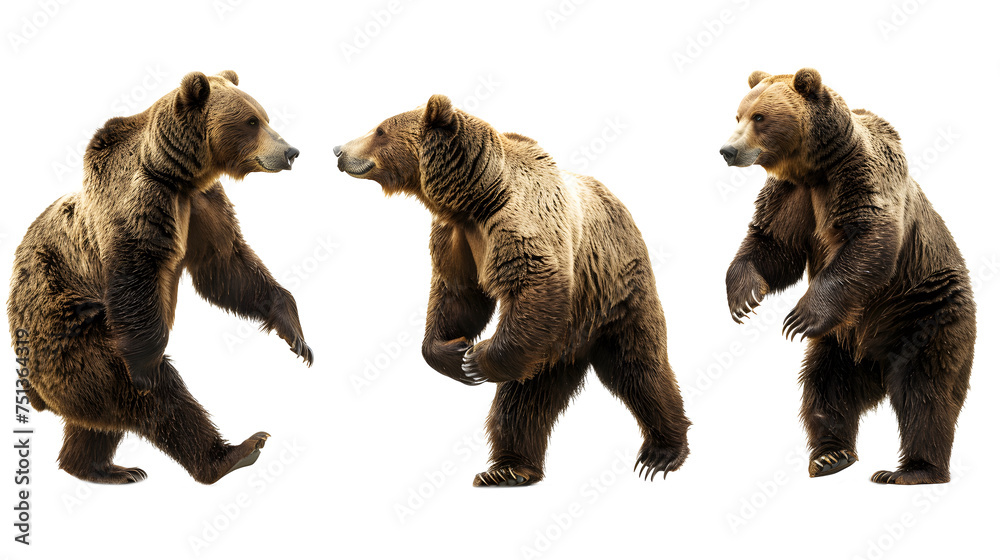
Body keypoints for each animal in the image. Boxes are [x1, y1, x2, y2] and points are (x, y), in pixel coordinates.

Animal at [7, 70, 313, 485]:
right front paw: (146, 372)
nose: (290, 151)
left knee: (95, 420)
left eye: (264, 117)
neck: (178, 174)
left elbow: (229, 268)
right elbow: (138, 276)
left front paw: (297, 337)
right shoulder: (140, 205)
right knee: (155, 397)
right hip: (73, 333)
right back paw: (234, 452)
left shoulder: (202, 207)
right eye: (252, 121)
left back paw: (103, 468)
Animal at [334, 95, 691, 486]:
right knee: (524, 399)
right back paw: (509, 469)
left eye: (380, 130)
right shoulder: (455, 238)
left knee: (639, 368)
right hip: (548, 346)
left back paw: (661, 452)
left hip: (615, 289)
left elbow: (534, 281)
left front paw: (474, 359)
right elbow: (457, 296)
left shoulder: (521, 223)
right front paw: (453, 352)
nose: (339, 149)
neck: (475, 199)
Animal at [720, 68, 976, 484]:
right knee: (826, 385)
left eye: (760, 117)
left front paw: (798, 315)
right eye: (738, 115)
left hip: (927, 313)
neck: (816, 167)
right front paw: (744, 295)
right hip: (840, 338)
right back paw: (831, 456)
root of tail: (877, 362)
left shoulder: (861, 177)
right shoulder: (793, 195)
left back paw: (913, 470)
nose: (727, 150)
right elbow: (773, 243)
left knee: (927, 391)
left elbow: (870, 238)